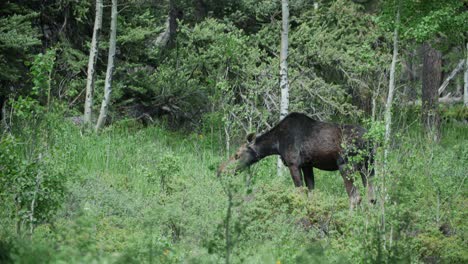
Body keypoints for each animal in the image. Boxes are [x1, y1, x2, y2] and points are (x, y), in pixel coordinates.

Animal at [218, 112, 374, 209]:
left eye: (237, 155)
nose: (220, 171)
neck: (276, 144)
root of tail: (369, 140)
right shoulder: (307, 165)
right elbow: (311, 193)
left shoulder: (293, 164)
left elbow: (300, 193)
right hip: (368, 166)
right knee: (371, 196)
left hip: (346, 165)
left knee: (355, 197)